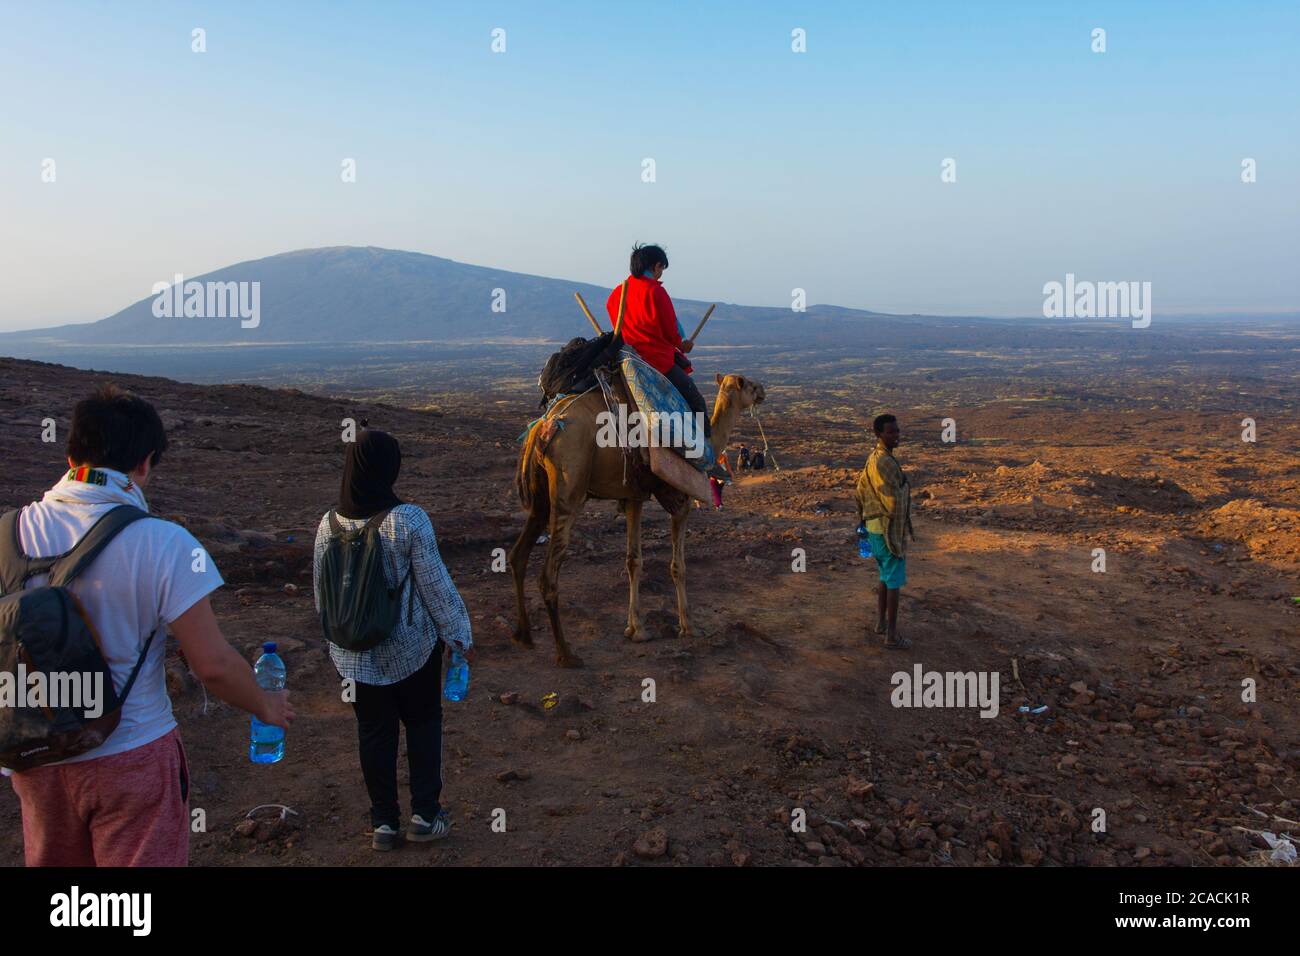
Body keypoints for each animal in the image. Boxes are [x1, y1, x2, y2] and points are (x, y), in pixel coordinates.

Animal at [506, 369, 764, 671]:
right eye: (749, 385)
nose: (763, 391)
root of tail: (543, 427)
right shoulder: (682, 502)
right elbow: (678, 566)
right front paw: (688, 626)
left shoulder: (633, 498)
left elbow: (633, 561)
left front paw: (635, 629)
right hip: (569, 486)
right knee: (548, 574)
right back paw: (566, 654)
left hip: (541, 498)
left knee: (518, 554)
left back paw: (523, 635)